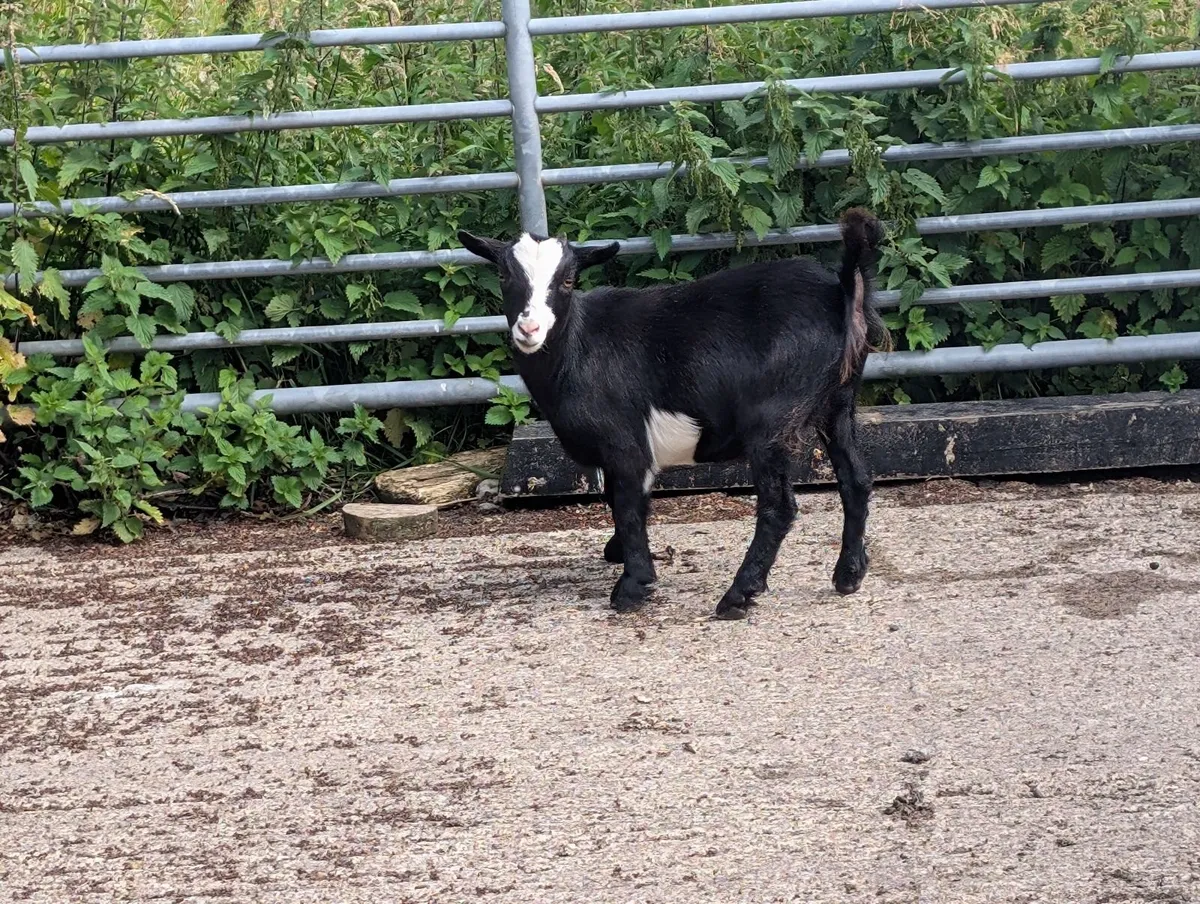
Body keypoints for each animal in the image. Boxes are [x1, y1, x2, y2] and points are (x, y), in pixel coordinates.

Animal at [458, 208, 886, 619]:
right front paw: (618, 552)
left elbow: (628, 505)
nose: (529, 329)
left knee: (779, 506)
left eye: (567, 281)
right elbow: (621, 500)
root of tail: (841, 291)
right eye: (503, 275)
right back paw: (848, 574)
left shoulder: (625, 443)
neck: (579, 346)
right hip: (838, 403)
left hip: (773, 419)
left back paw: (738, 595)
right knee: (856, 480)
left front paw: (633, 585)